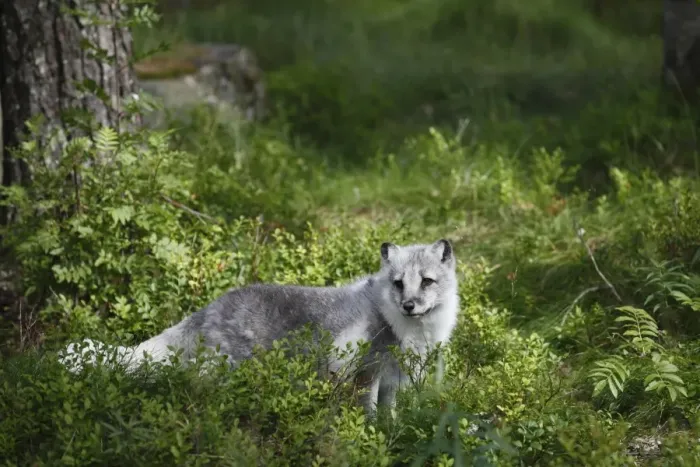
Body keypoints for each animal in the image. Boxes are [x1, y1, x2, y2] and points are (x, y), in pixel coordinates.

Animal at [60, 239, 460, 415]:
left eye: (426, 282)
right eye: (398, 283)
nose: (409, 306)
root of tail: (210, 307)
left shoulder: (393, 380)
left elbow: (390, 415)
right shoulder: (367, 374)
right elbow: (368, 412)